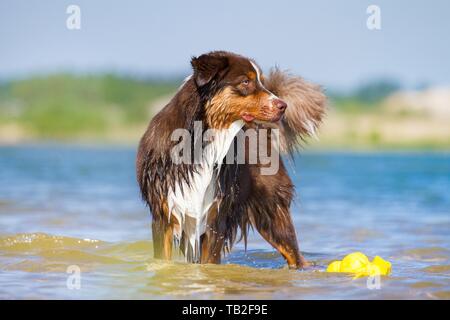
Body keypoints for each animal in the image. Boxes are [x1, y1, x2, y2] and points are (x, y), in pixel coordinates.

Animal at [135, 51, 326, 268]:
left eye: (260, 81)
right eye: (245, 81)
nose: (283, 106)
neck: (203, 141)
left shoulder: (216, 218)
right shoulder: (163, 216)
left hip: (272, 213)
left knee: (295, 255)